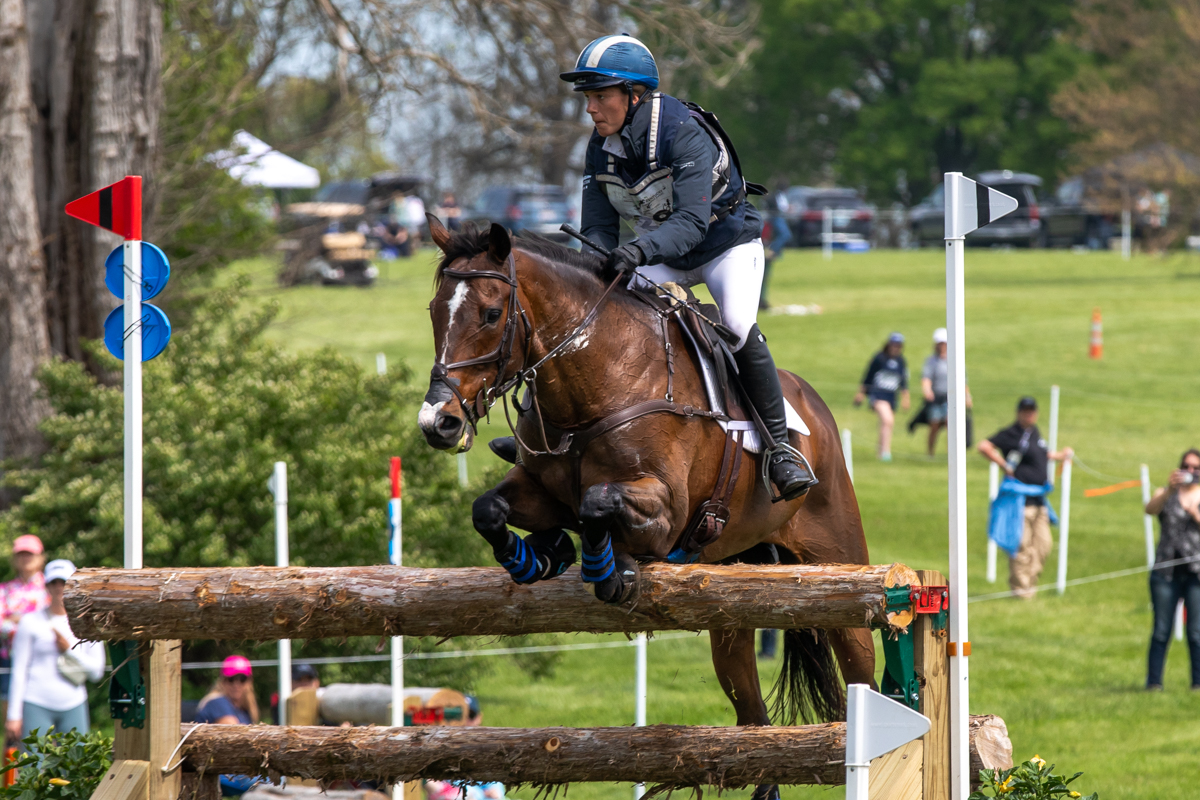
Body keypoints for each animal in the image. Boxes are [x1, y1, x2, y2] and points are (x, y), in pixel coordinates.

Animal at [420, 219, 873, 800]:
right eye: (435, 311)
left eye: (492, 314)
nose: (438, 423)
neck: (596, 381)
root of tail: (816, 411)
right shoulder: (536, 486)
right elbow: (490, 508)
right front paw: (539, 555)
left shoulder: (666, 513)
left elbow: (598, 504)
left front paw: (611, 572)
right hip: (732, 609)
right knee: (753, 724)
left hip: (840, 568)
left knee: (864, 669)